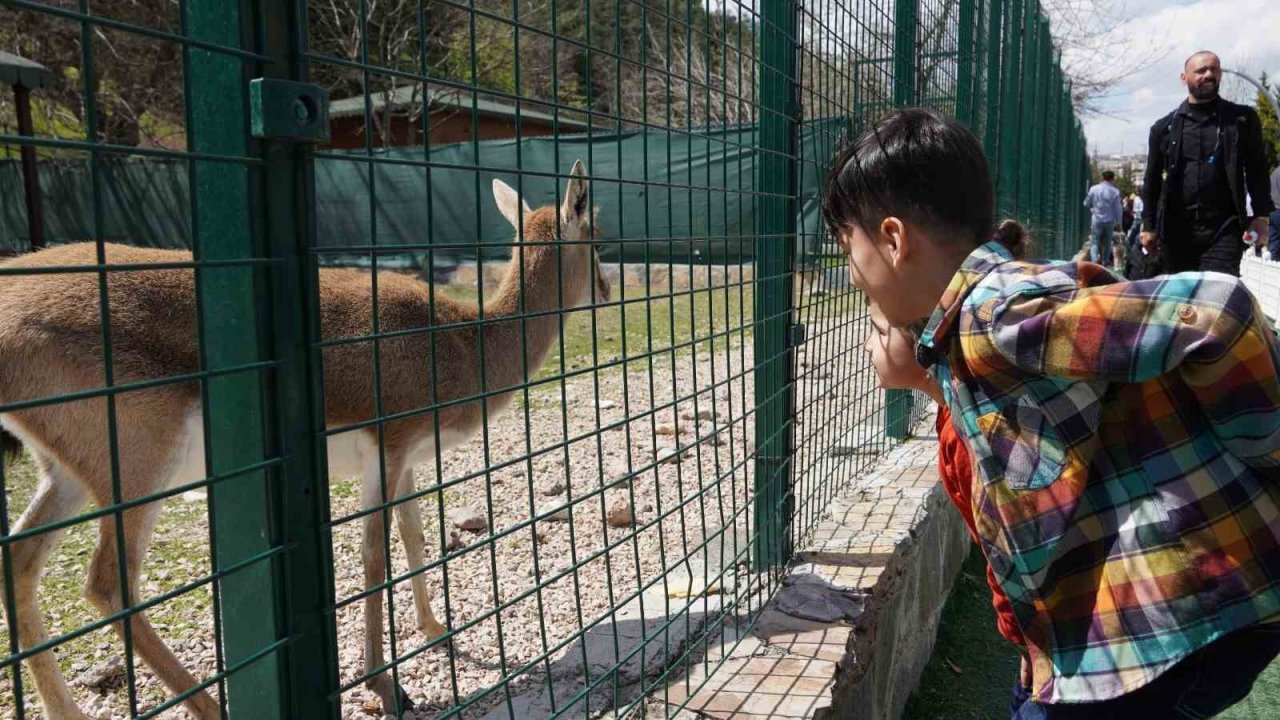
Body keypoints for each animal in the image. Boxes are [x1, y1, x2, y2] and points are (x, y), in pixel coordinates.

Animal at [0, 159, 606, 712]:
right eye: (596, 237)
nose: (604, 288)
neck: (460, 343)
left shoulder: (406, 457)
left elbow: (413, 534)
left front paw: (436, 631)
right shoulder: (387, 447)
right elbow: (373, 556)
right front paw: (386, 685)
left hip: (68, 473)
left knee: (21, 558)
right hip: (141, 464)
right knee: (108, 583)